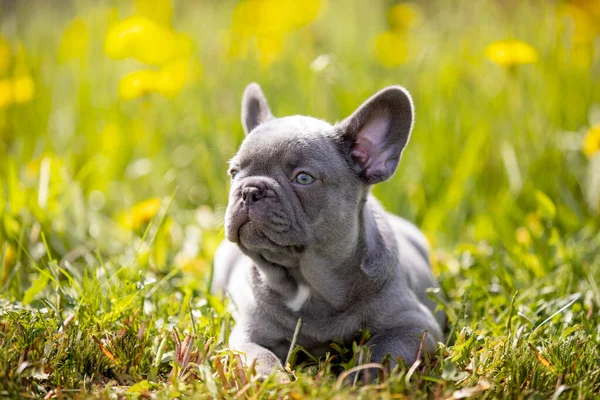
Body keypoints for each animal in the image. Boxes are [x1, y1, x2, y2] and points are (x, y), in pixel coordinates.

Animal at [212, 83, 446, 378]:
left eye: (303, 178)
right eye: (234, 173)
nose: (250, 190)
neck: (306, 281)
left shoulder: (415, 325)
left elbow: (380, 349)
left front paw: (356, 379)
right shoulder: (246, 336)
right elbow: (259, 357)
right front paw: (274, 380)